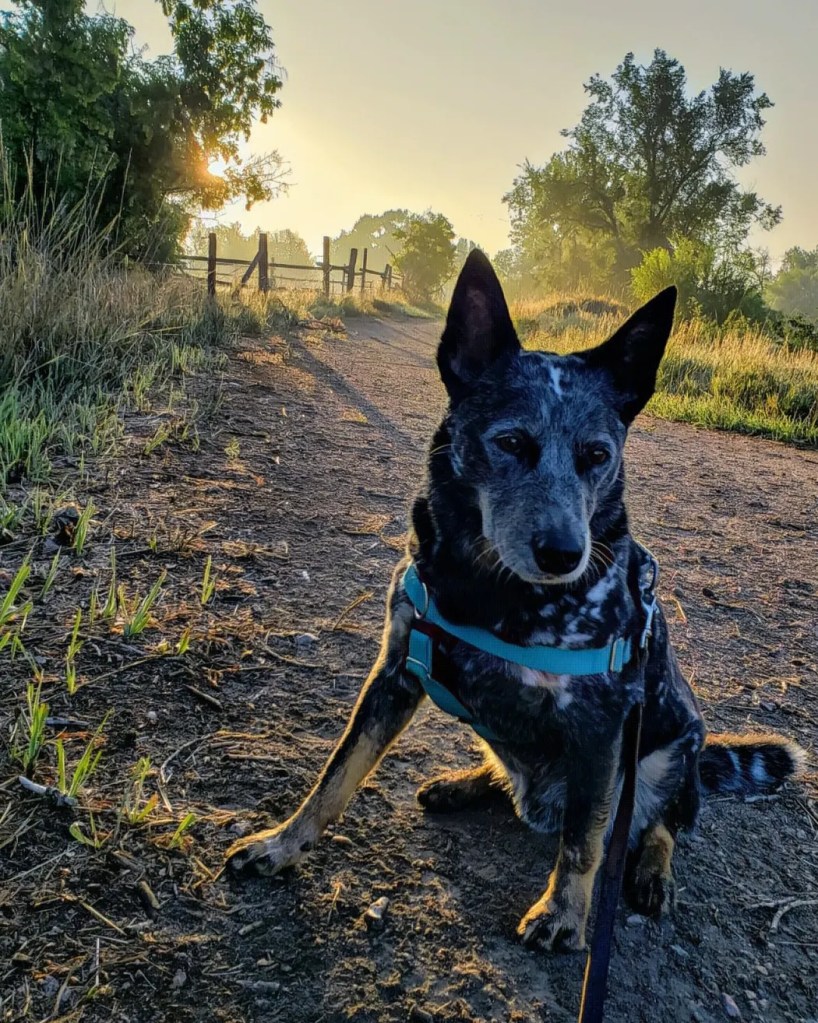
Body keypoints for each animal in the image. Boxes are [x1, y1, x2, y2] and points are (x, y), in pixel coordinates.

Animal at [227, 250, 804, 951]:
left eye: (597, 455)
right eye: (510, 443)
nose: (565, 553)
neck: (486, 588)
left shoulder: (600, 727)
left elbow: (585, 842)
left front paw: (564, 914)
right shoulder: (394, 672)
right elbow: (335, 776)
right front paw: (284, 844)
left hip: (674, 748)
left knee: (657, 824)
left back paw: (652, 871)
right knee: (512, 771)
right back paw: (465, 784)